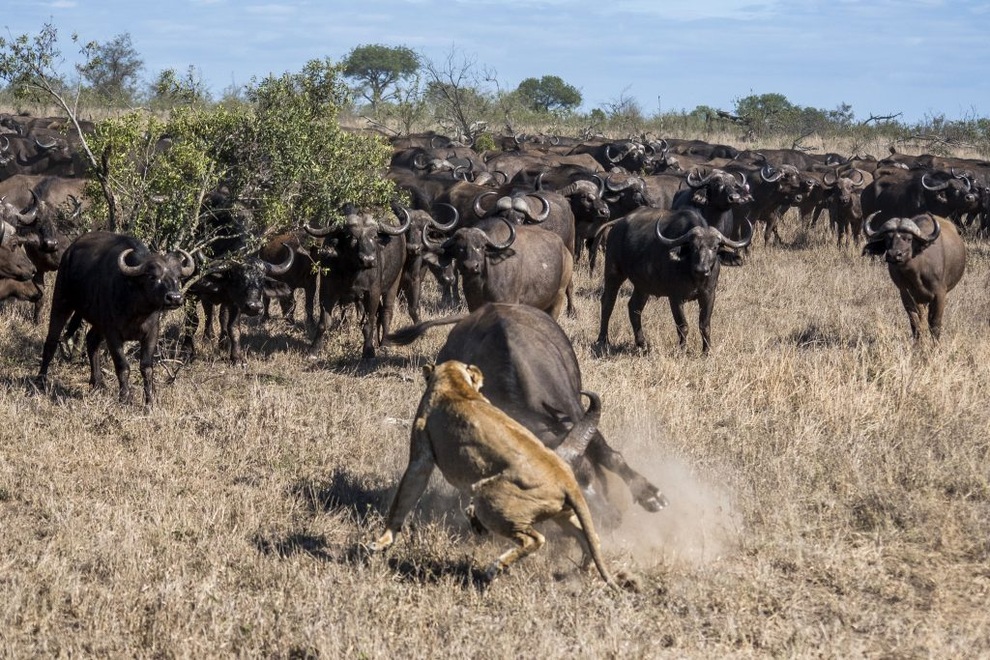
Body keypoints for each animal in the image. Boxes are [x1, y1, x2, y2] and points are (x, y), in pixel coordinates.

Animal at [372, 358, 628, 592]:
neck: (454, 382)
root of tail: (566, 478)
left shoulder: (421, 457)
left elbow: (402, 500)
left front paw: (381, 542)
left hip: (491, 500)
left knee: (534, 539)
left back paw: (493, 569)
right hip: (561, 513)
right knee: (591, 538)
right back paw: (580, 571)